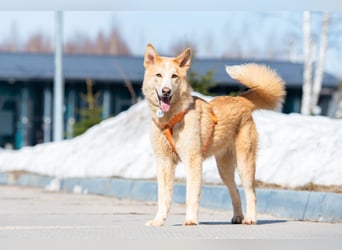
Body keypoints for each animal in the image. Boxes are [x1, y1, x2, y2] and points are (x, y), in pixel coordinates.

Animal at [142, 44, 286, 226]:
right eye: (158, 75)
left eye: (174, 76)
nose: (166, 91)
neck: (171, 120)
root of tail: (240, 100)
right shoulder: (164, 162)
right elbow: (163, 197)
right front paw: (158, 221)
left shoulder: (193, 161)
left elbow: (191, 195)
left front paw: (190, 220)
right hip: (224, 169)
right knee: (234, 190)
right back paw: (238, 217)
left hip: (244, 164)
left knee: (251, 192)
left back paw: (251, 218)